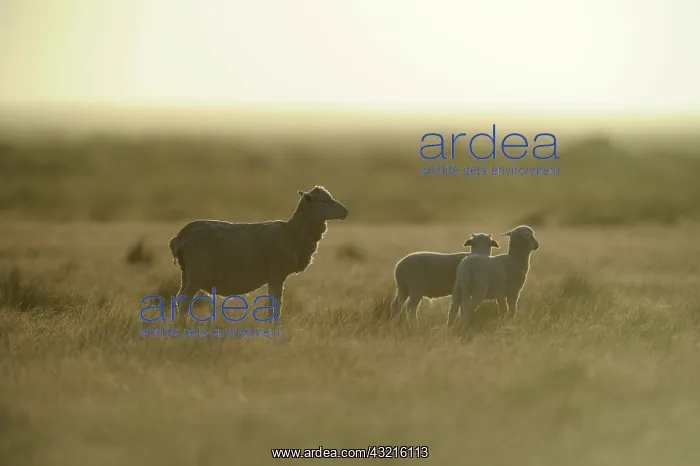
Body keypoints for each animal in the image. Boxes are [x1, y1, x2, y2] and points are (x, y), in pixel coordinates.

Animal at [168, 185, 348, 320]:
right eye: (323, 201)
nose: (345, 211)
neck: (292, 233)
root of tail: (179, 237)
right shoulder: (277, 273)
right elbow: (275, 304)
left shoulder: (273, 276)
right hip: (197, 273)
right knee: (184, 302)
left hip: (186, 273)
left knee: (178, 299)